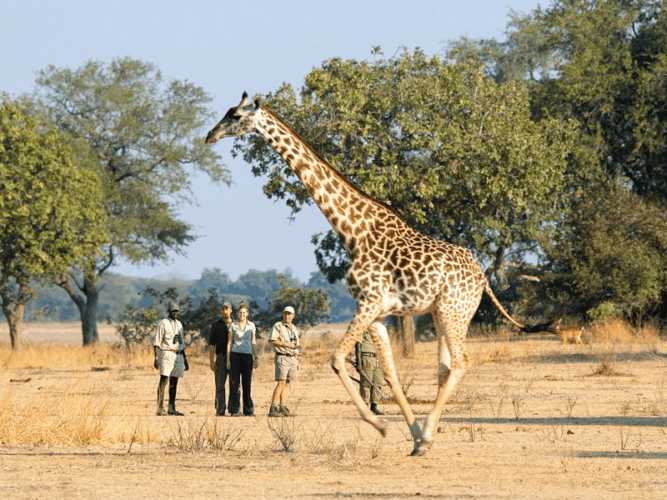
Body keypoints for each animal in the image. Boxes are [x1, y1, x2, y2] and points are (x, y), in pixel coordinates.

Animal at [205, 92, 558, 456]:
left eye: (235, 115)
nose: (210, 135)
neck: (353, 231)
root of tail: (483, 279)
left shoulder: (369, 301)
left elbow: (337, 358)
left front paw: (382, 425)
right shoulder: (376, 311)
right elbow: (387, 370)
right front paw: (412, 434)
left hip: (454, 310)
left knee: (460, 362)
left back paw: (429, 432)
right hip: (441, 312)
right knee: (445, 367)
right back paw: (427, 435)